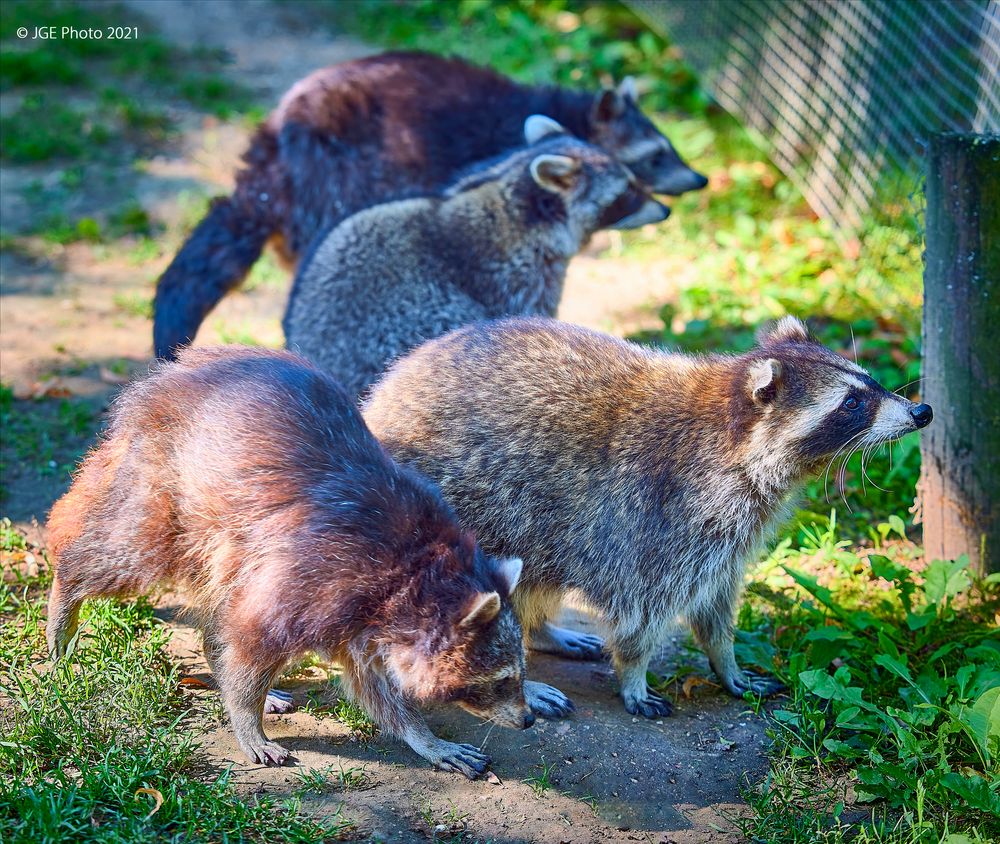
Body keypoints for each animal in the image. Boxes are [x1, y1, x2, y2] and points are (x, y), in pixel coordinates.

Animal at [45, 344, 572, 780]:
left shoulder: (366, 616)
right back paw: (64, 596)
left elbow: (374, 686)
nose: (527, 719)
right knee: (120, 552)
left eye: (519, 672)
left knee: (220, 600)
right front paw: (246, 718)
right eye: (502, 680)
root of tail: (172, 372)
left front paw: (421, 737)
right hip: (169, 493)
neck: (424, 573)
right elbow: (255, 639)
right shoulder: (318, 574)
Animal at [152, 49, 708, 360]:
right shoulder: (516, 265)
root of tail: (275, 142)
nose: (699, 181)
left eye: (664, 152)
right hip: (343, 173)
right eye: (650, 163)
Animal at [364, 316, 932, 720]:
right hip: (468, 506)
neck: (736, 437)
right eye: (852, 403)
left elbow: (716, 601)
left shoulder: (730, 530)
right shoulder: (666, 511)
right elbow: (644, 605)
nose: (921, 412)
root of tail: (379, 400)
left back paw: (542, 630)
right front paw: (634, 674)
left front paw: (725, 659)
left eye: (869, 381)